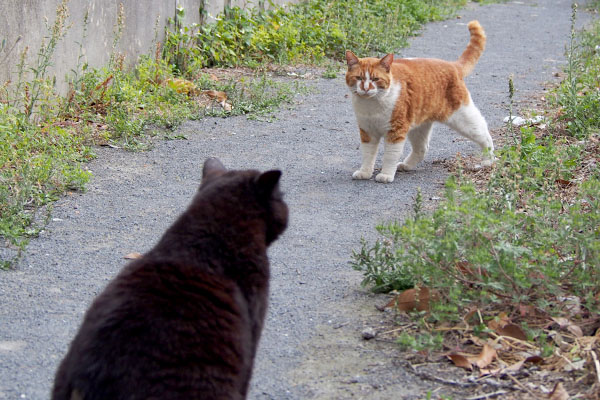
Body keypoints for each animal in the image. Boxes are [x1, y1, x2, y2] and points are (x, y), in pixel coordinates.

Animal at [344, 21, 494, 184]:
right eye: (359, 78)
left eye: (375, 79)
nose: (365, 88)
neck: (371, 106)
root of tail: (452, 65)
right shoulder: (367, 132)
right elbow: (367, 155)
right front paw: (365, 172)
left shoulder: (396, 132)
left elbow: (390, 156)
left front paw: (386, 174)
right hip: (419, 128)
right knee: (422, 149)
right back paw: (407, 165)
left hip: (463, 119)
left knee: (485, 134)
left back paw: (488, 160)